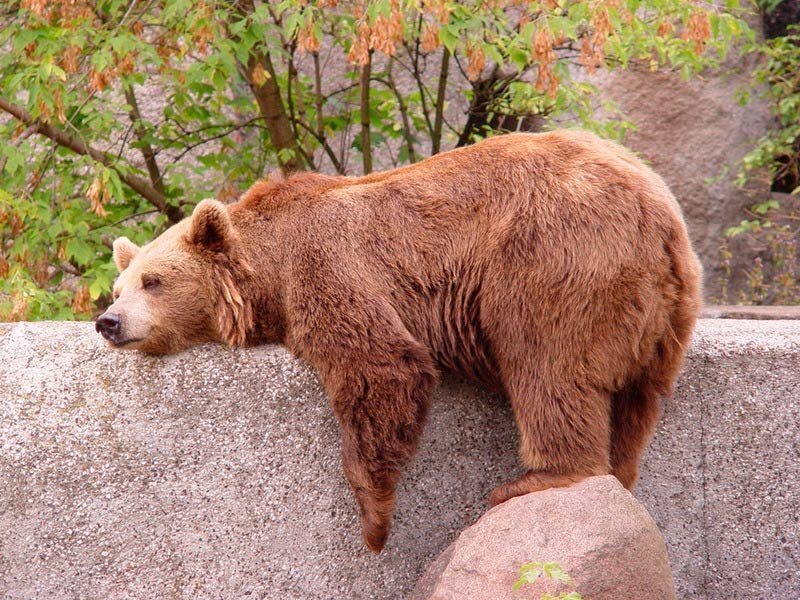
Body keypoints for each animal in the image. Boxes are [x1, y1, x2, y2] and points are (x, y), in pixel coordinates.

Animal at [98, 130, 700, 552]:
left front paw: (373, 521)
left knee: (546, 360)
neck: (267, 271)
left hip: (552, 255)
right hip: (663, 314)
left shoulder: (326, 265)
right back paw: (617, 471)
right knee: (637, 400)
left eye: (154, 281)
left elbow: (380, 365)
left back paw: (536, 479)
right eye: (117, 287)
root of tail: (657, 208)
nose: (109, 321)